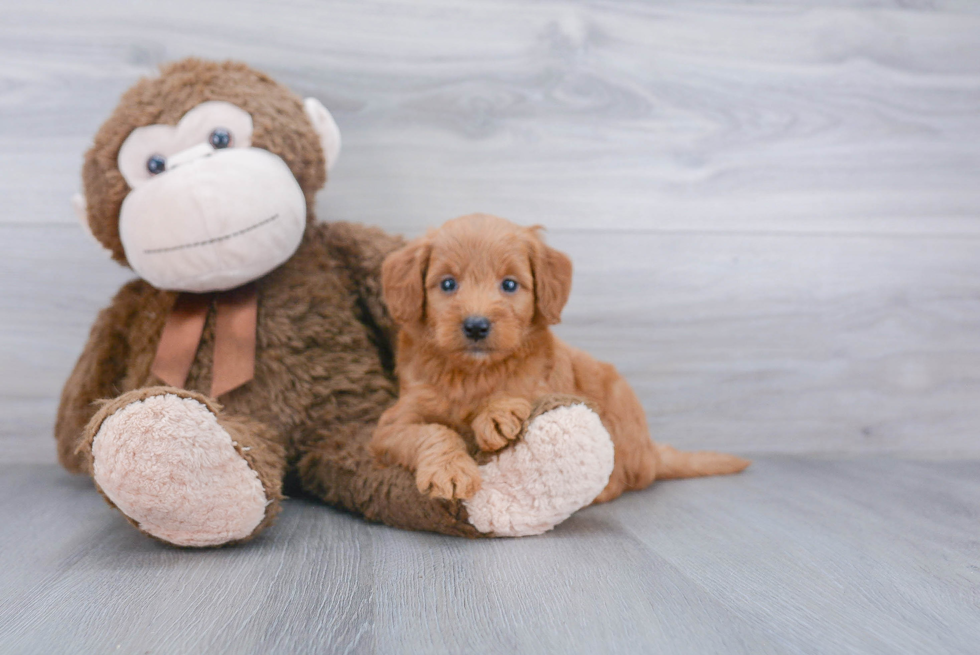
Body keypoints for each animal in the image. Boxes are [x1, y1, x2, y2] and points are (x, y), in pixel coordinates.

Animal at [370, 215, 752, 502]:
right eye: (448, 284)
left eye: (509, 285)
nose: (476, 326)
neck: (473, 373)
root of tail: (650, 452)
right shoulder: (391, 425)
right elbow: (433, 431)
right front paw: (449, 471)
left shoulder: (544, 385)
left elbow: (517, 393)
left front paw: (497, 413)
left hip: (617, 409)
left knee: (620, 478)